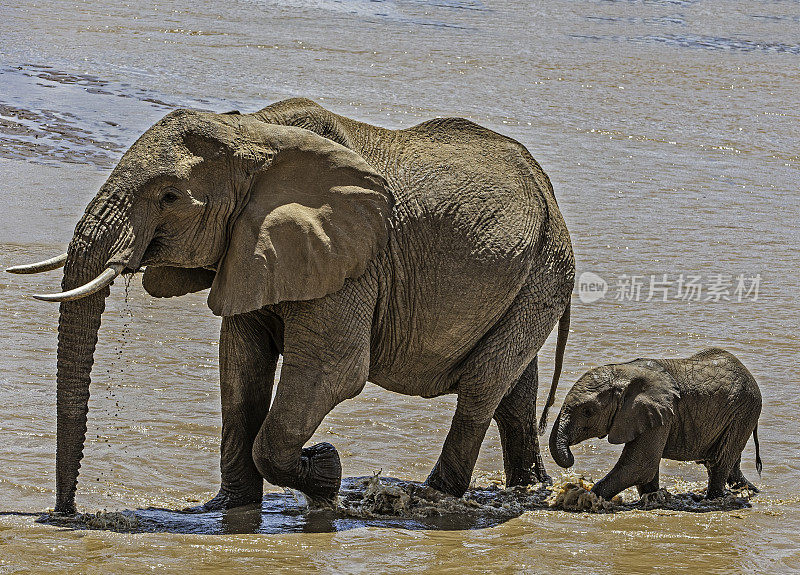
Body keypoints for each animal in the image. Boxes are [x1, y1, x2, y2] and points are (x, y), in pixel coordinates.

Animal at [9, 98, 572, 512]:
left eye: (169, 197)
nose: (65, 513)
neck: (253, 135)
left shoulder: (355, 260)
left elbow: (334, 370)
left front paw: (326, 467)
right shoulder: (249, 248)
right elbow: (240, 366)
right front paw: (227, 508)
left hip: (546, 271)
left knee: (481, 386)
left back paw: (431, 496)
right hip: (531, 277)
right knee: (513, 388)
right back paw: (528, 489)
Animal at [552, 348, 764, 502]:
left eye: (587, 411)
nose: (571, 459)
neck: (624, 372)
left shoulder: (662, 414)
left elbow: (640, 465)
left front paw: (583, 498)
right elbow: (646, 469)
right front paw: (654, 497)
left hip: (744, 411)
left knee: (719, 462)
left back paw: (713, 499)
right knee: (729, 463)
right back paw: (749, 491)